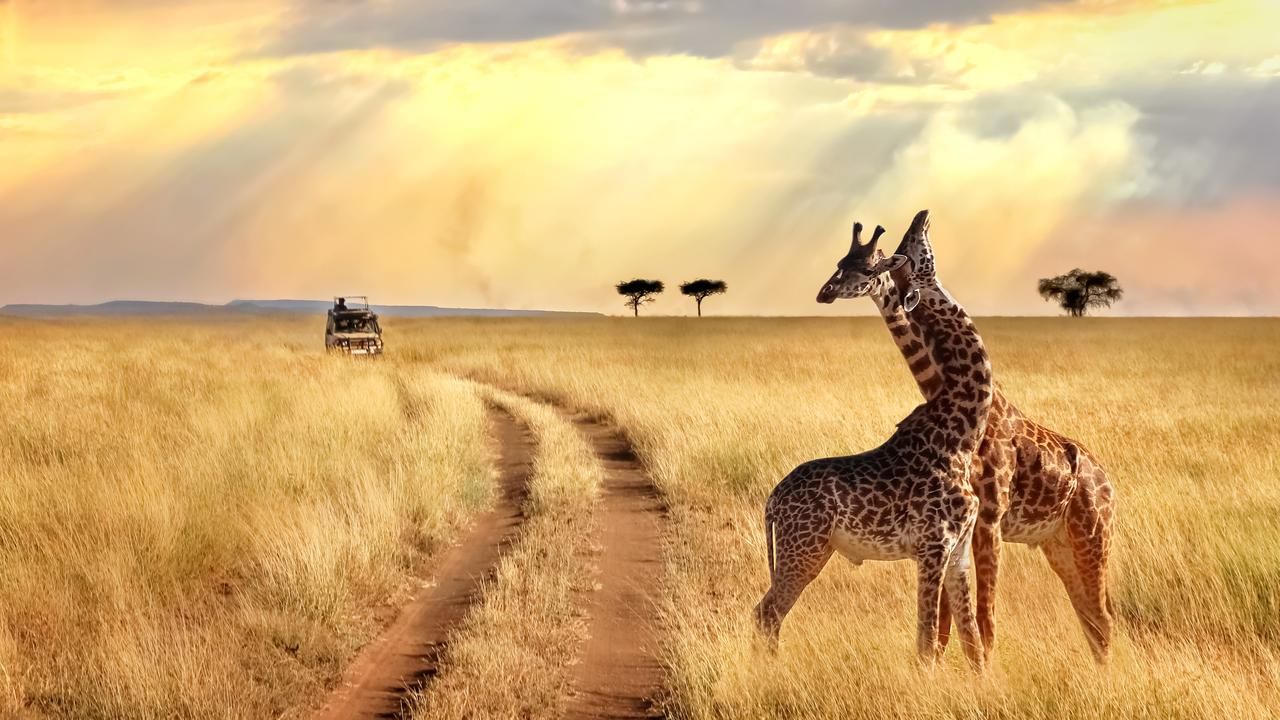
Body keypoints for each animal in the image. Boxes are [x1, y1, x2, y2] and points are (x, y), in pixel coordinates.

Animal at [754, 210, 993, 671]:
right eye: (910, 249)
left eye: (869, 265)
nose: (921, 216)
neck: (962, 432)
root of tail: (772, 500)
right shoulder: (933, 546)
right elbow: (925, 642)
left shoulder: (958, 550)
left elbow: (972, 642)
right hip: (804, 549)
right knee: (767, 612)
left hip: (809, 549)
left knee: (766, 612)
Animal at [816, 210, 1117, 664]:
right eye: (840, 262)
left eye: (870, 266)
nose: (825, 292)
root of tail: (1108, 482)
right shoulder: (961, 527)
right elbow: (950, 621)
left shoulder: (987, 520)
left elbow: (979, 618)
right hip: (1058, 543)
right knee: (1091, 617)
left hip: (1092, 537)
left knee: (1102, 617)